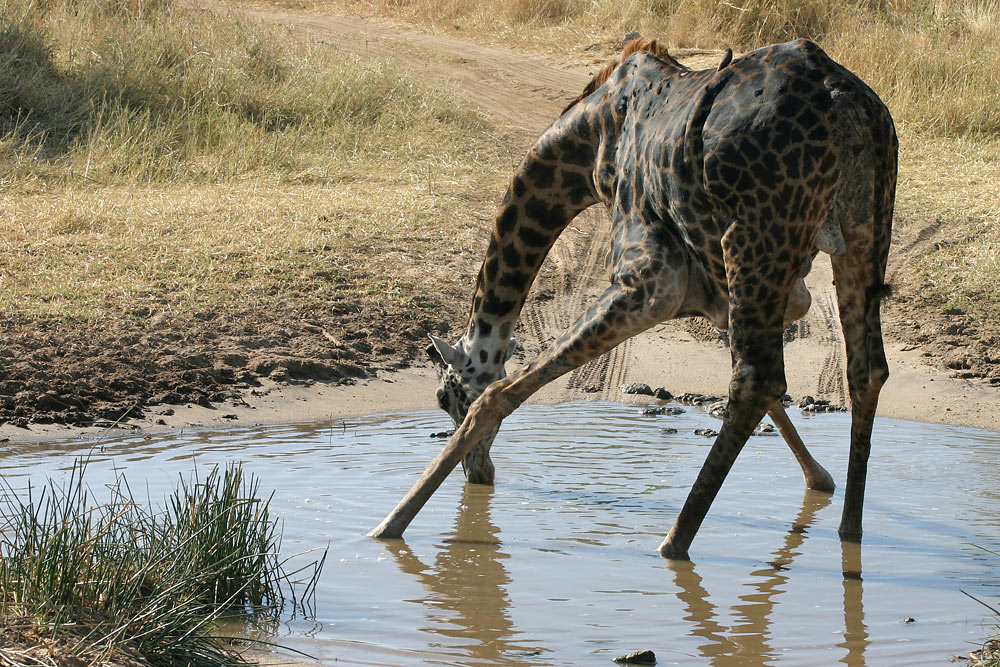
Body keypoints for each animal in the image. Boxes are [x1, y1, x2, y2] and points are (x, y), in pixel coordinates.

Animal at [370, 35, 900, 560]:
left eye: (444, 397)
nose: (480, 474)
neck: (593, 143)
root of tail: (843, 101)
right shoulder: (736, 293)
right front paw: (820, 480)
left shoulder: (650, 283)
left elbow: (499, 393)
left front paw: (388, 525)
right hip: (862, 230)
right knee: (864, 370)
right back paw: (849, 532)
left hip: (757, 240)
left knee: (755, 380)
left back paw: (673, 544)